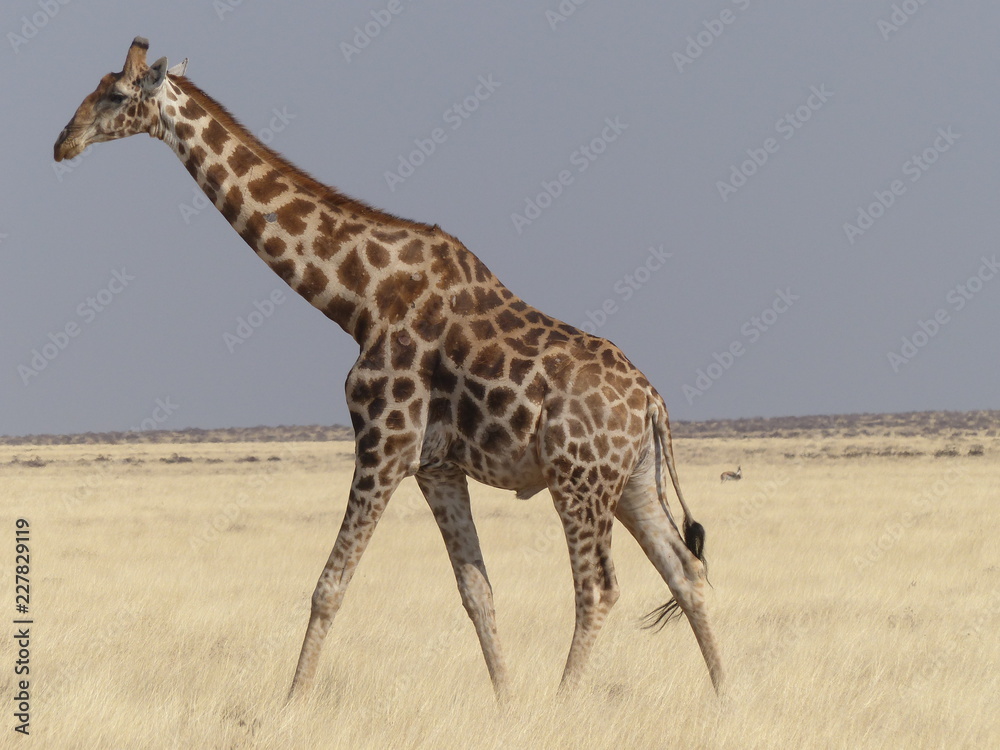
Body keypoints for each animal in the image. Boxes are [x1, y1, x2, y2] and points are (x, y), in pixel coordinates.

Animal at [54, 37, 724, 698]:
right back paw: (723, 699)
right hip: (631, 481)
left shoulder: (384, 444)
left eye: (116, 94)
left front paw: (292, 704)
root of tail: (653, 403)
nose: (63, 142)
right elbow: (477, 593)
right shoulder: (437, 467)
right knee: (685, 571)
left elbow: (329, 586)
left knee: (599, 589)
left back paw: (563, 706)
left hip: (578, 480)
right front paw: (506, 706)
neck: (358, 298)